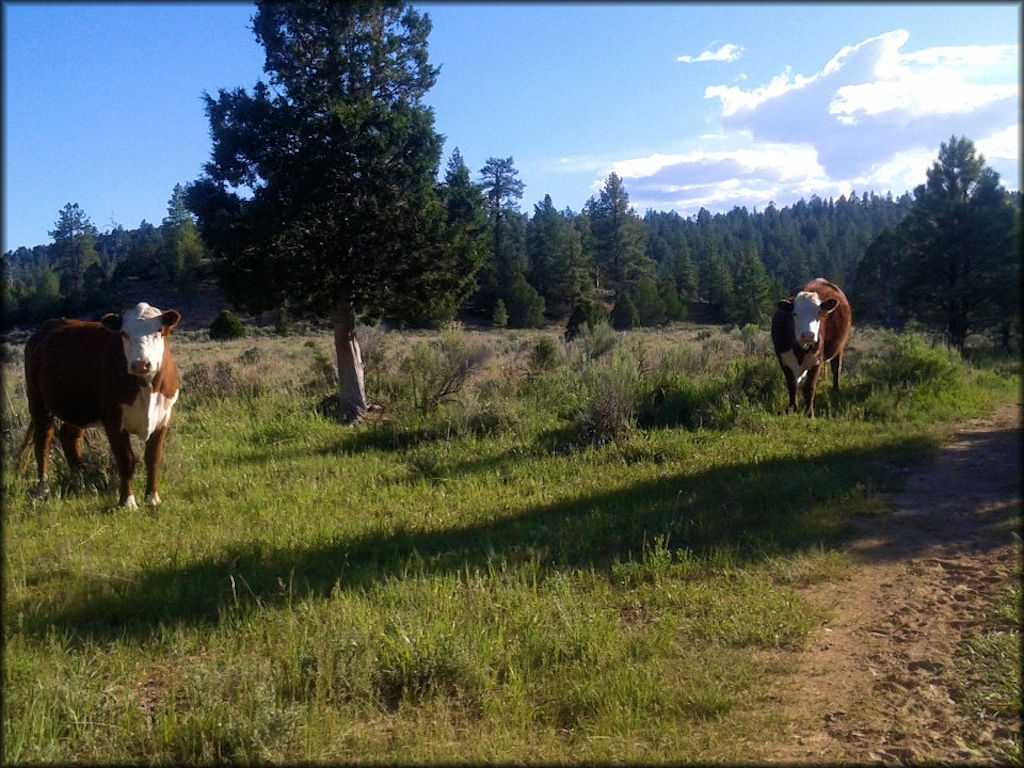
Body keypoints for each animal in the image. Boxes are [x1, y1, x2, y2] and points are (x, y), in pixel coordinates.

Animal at [24, 303, 182, 512]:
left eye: (158, 330)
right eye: (124, 333)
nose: (141, 364)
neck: (147, 387)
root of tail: (44, 329)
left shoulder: (163, 418)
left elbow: (153, 458)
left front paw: (152, 498)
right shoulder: (114, 421)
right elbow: (126, 460)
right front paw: (127, 502)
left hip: (79, 407)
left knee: (70, 437)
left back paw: (81, 481)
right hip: (38, 401)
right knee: (43, 440)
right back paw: (43, 490)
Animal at [770, 278, 851, 417]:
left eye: (819, 313)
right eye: (795, 313)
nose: (808, 334)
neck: (800, 349)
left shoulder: (816, 361)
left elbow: (810, 387)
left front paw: (809, 413)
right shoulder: (783, 359)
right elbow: (792, 384)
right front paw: (792, 408)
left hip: (839, 348)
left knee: (836, 368)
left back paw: (836, 390)